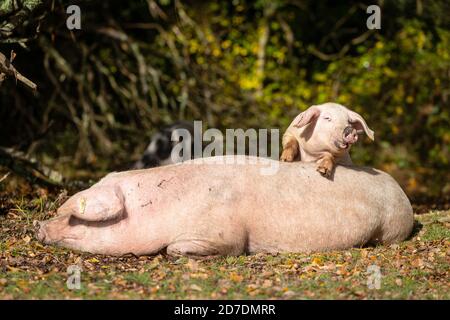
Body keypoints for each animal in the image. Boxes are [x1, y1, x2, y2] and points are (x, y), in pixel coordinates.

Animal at [36, 158, 414, 258]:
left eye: (74, 218)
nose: (38, 227)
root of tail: (401, 190)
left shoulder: (222, 232)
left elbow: (177, 249)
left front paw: (174, 251)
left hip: (391, 228)